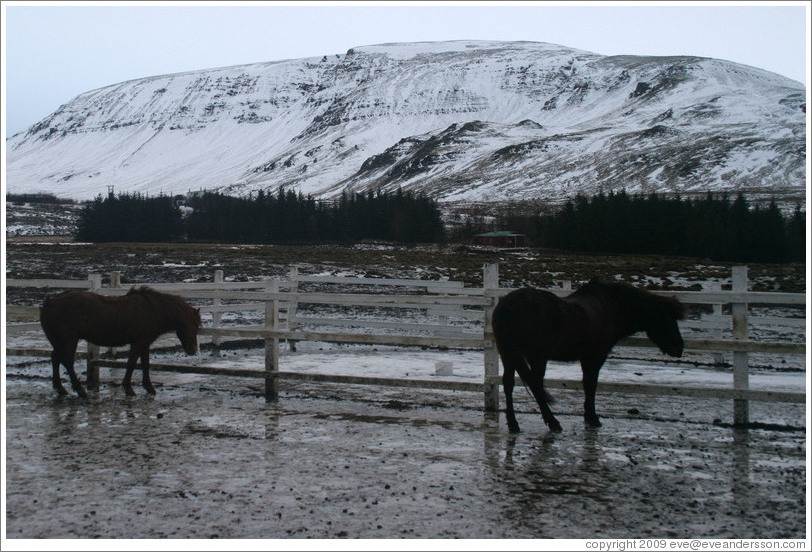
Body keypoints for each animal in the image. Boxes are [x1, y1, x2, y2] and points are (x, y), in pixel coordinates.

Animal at [40, 286, 202, 398]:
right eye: (194, 325)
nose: (193, 350)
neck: (153, 309)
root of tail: (50, 302)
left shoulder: (144, 343)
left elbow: (145, 364)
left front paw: (149, 387)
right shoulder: (138, 343)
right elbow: (131, 363)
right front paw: (129, 388)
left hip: (58, 341)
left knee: (55, 358)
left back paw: (61, 389)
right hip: (69, 340)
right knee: (67, 361)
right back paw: (80, 391)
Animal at [488, 278, 684, 434]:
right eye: (666, 319)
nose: (679, 348)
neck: (609, 307)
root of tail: (508, 305)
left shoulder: (585, 358)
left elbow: (587, 384)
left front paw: (589, 416)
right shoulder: (595, 357)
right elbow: (591, 384)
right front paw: (593, 417)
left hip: (509, 354)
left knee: (509, 384)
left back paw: (514, 424)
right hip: (537, 356)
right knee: (536, 383)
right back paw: (553, 422)